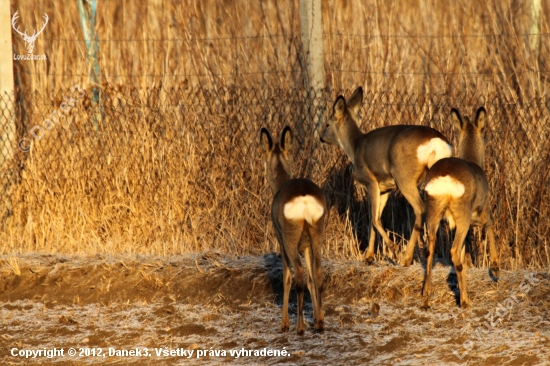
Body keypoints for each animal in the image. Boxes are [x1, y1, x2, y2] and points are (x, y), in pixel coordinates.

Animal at [262, 125, 328, 334]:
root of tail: (304, 199)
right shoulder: (306, 245)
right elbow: (311, 279)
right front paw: (315, 318)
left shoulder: (280, 239)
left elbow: (286, 278)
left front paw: (283, 324)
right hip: (317, 232)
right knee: (317, 273)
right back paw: (320, 323)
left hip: (290, 237)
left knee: (297, 273)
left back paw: (299, 328)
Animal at [324, 87, 452, 268]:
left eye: (327, 124)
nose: (321, 137)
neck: (355, 147)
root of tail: (436, 142)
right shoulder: (385, 189)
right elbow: (374, 218)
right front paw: (369, 257)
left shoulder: (370, 181)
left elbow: (374, 218)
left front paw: (393, 248)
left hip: (404, 176)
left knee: (420, 209)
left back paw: (406, 258)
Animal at [424, 107, 502, 310]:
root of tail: (445, 179)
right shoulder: (484, 208)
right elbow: (490, 227)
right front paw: (496, 269)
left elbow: (464, 253)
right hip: (463, 213)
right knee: (453, 251)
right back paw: (465, 301)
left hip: (433, 210)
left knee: (430, 249)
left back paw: (426, 298)